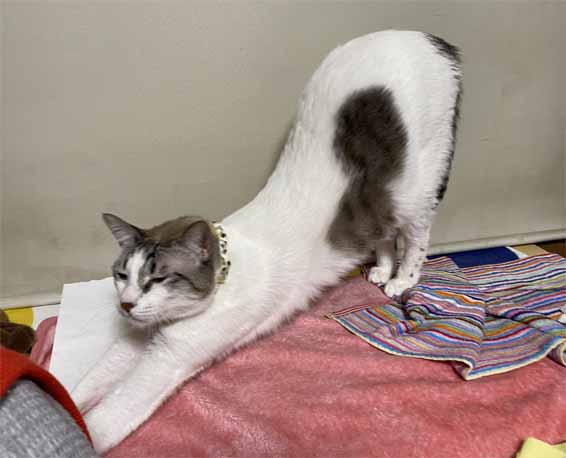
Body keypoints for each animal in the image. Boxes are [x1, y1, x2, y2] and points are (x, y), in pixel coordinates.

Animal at [72, 30, 462, 453]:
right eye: (121, 275)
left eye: (158, 278)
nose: (125, 305)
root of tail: (423, 36)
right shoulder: (133, 341)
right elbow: (86, 382)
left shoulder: (170, 357)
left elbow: (110, 414)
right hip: (385, 199)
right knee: (384, 231)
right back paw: (380, 270)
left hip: (419, 185)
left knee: (416, 235)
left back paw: (401, 280)